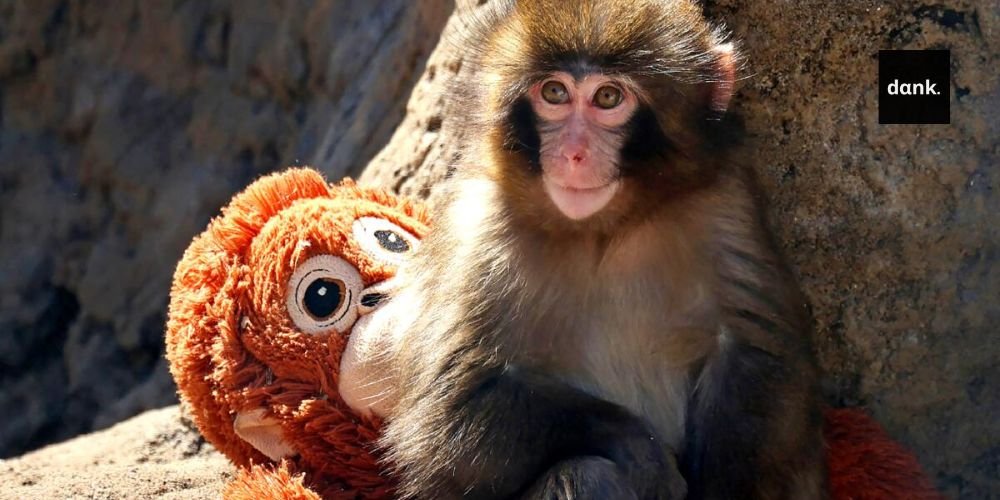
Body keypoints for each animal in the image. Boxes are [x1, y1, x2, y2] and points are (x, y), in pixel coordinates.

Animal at [339, 0, 827, 498]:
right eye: (554, 92)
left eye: (608, 98)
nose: (573, 153)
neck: (603, 230)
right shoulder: (477, 232)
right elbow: (451, 416)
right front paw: (641, 449)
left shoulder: (726, 204)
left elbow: (757, 356)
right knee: (586, 473)